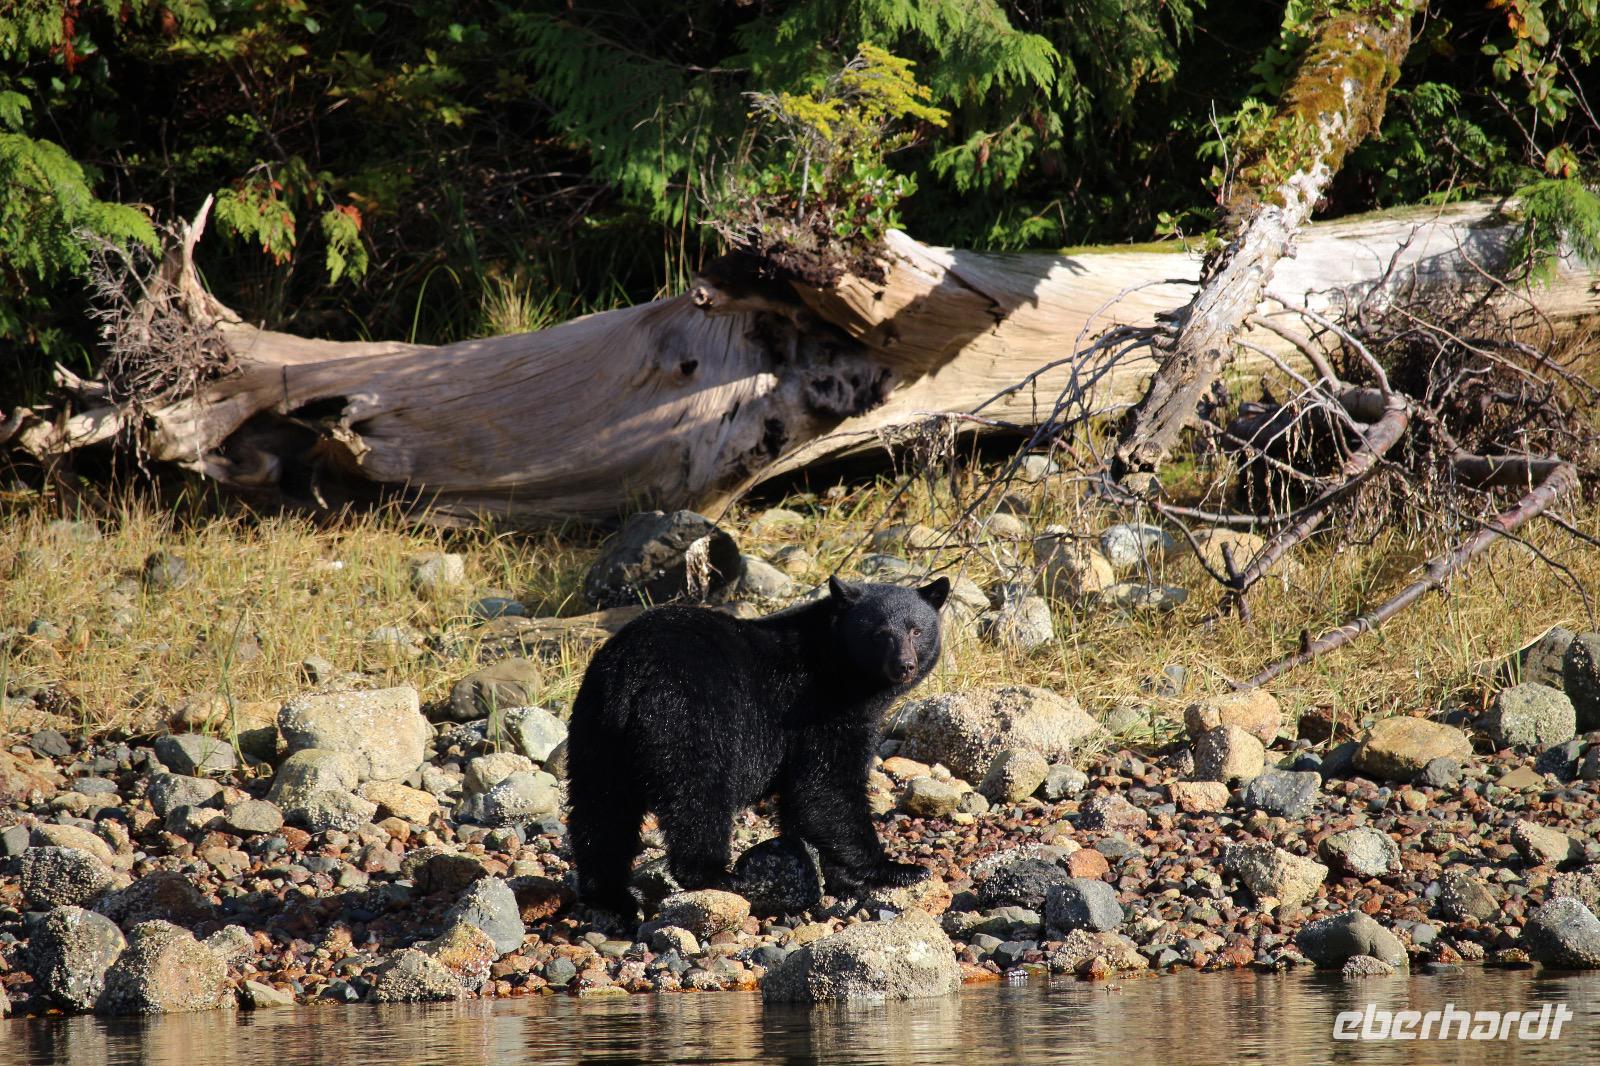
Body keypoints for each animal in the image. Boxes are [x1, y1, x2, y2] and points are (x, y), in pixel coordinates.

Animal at [566, 575, 950, 919]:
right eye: (880, 634)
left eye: (916, 630)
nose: (904, 665)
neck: (837, 664)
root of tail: (632, 671)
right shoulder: (819, 710)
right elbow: (825, 788)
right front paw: (896, 868)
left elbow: (804, 801)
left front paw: (837, 877)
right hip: (687, 712)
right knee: (697, 793)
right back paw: (719, 876)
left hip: (597, 725)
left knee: (600, 807)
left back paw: (610, 894)